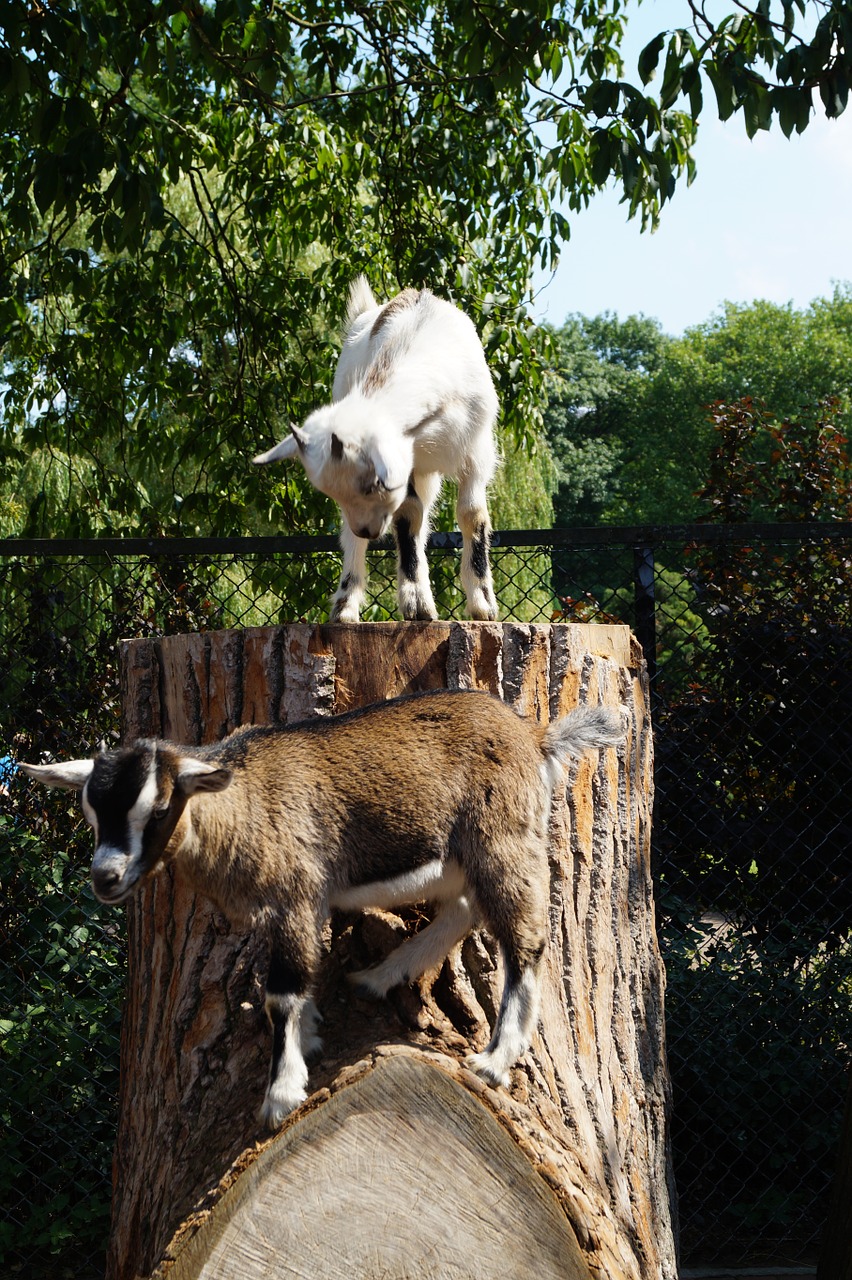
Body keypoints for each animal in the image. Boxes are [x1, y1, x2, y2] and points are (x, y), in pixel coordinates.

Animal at [19, 696, 616, 1126]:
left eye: (161, 807)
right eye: (90, 808)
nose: (106, 877)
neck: (242, 805)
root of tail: (535, 737)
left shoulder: (295, 894)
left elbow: (279, 993)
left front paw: (282, 1093)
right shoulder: (281, 910)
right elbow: (290, 984)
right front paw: (307, 1036)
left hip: (504, 835)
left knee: (524, 939)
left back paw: (494, 1060)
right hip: (463, 857)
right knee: (465, 910)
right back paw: (377, 977)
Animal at [252, 277, 498, 622]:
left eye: (375, 484)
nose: (367, 530)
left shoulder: (476, 453)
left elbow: (472, 515)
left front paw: (482, 604)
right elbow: (408, 514)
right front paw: (416, 603)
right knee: (364, 532)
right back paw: (346, 606)